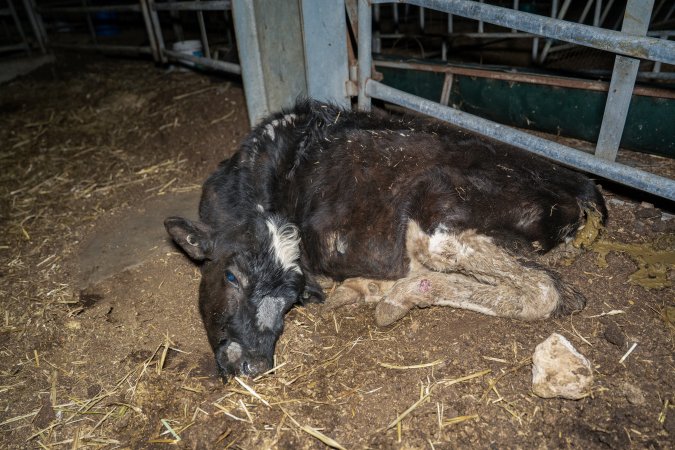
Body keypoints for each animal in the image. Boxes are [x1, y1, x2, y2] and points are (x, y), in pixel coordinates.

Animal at [165, 99, 606, 379]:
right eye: (231, 277)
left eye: (292, 300)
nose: (254, 365)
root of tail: (580, 183)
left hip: (437, 217)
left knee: (543, 290)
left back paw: (397, 296)